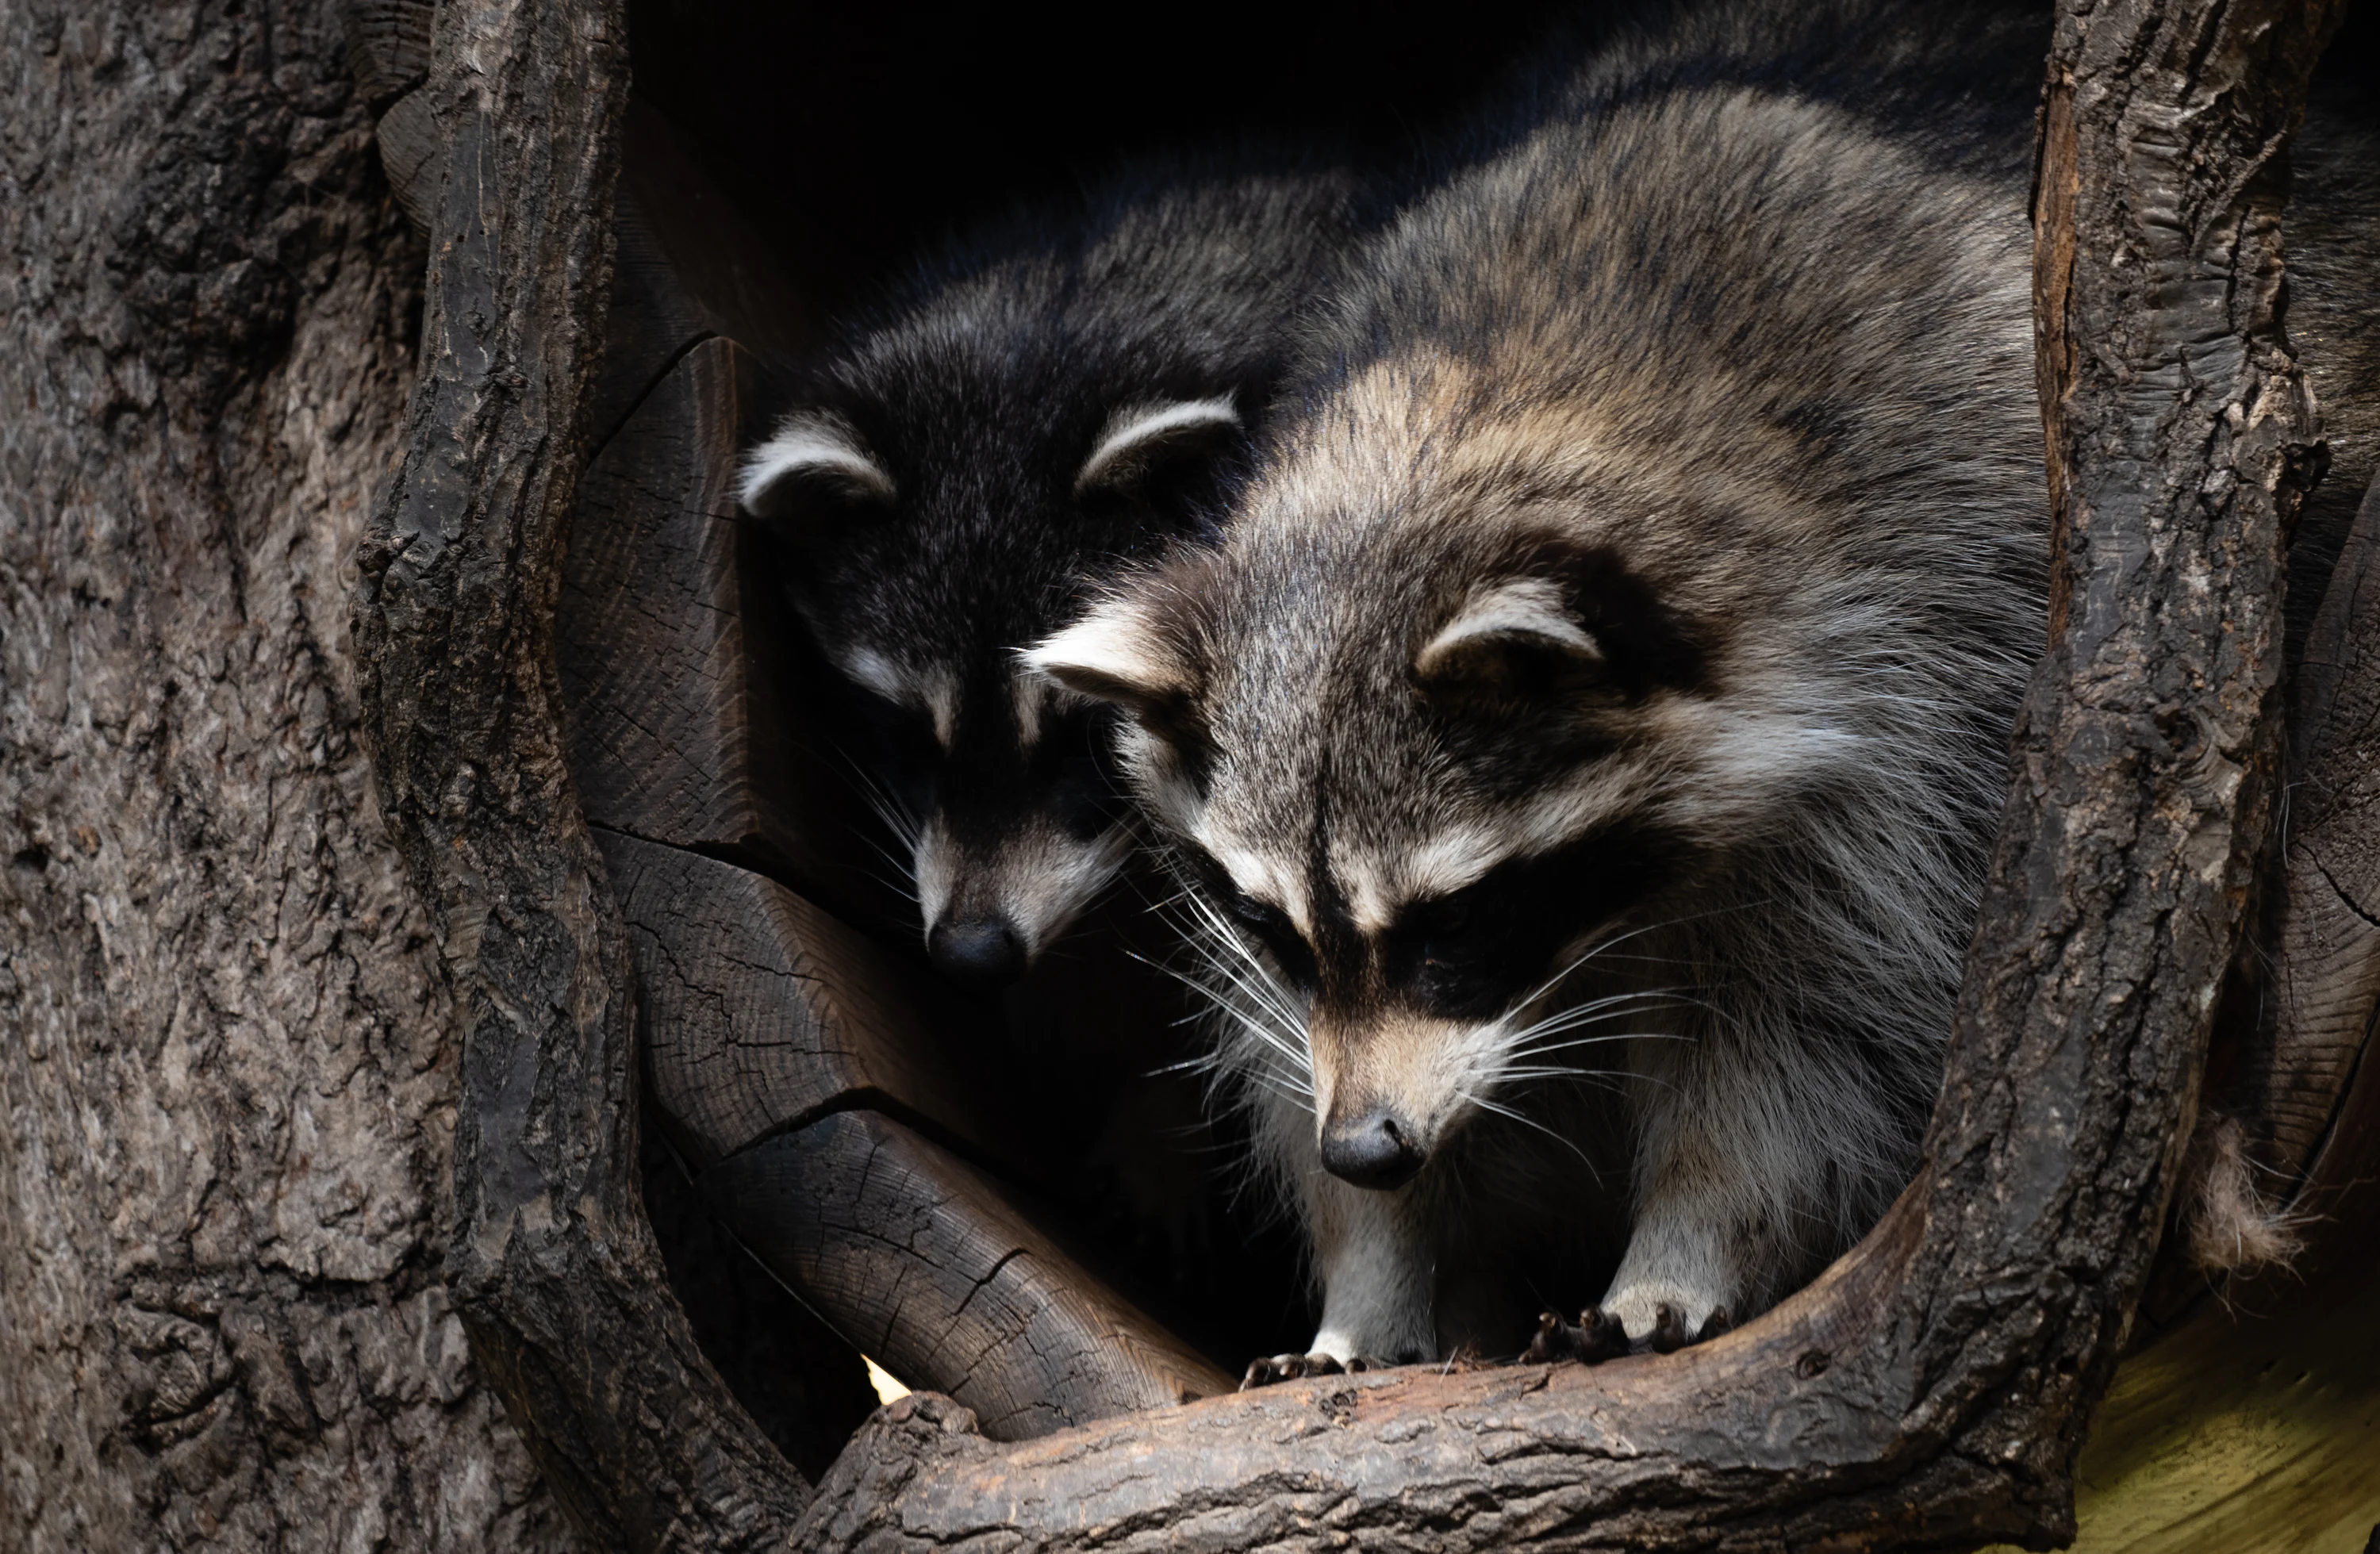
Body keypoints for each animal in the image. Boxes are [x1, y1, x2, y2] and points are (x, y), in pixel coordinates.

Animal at [1030, 0, 2063, 1365]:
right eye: (1273, 923)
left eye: (1454, 918)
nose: (1367, 1148)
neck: (1487, 405)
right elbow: (1284, 1048)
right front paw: (1372, 1278)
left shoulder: (1926, 691)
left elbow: (1808, 1037)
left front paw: (1686, 1240)